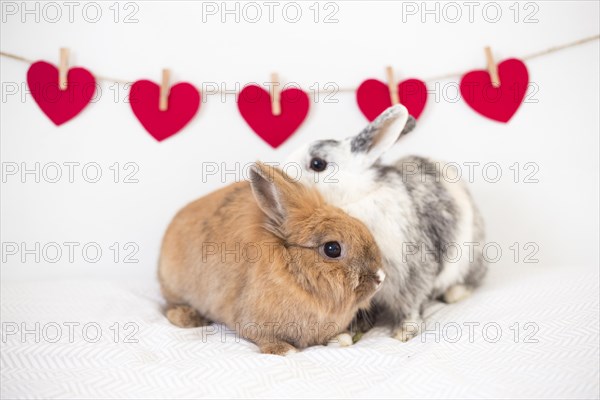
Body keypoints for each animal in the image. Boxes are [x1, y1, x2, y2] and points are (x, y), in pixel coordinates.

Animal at [159, 161, 384, 354]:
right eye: (332, 249)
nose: (380, 277)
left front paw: (342, 339)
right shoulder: (252, 322)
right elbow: (265, 338)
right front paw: (286, 351)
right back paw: (189, 318)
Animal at [288, 105, 490, 340]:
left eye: (317, 164)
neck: (355, 197)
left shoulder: (412, 270)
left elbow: (410, 302)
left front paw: (404, 332)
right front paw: (342, 337)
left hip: (469, 257)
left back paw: (455, 293)